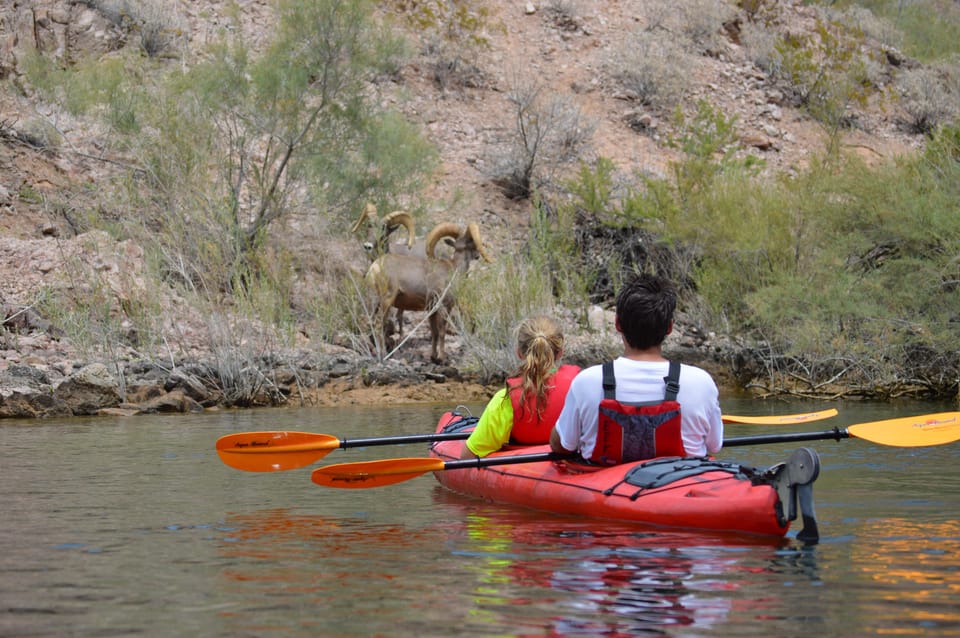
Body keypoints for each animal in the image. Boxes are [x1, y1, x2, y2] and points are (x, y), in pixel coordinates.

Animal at [364, 222, 492, 362]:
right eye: (471, 241)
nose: (477, 255)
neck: (454, 269)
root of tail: (375, 268)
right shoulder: (443, 308)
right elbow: (442, 332)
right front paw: (442, 358)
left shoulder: (431, 310)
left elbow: (434, 332)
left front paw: (433, 356)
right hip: (387, 301)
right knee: (378, 325)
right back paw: (382, 353)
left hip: (374, 301)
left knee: (369, 322)